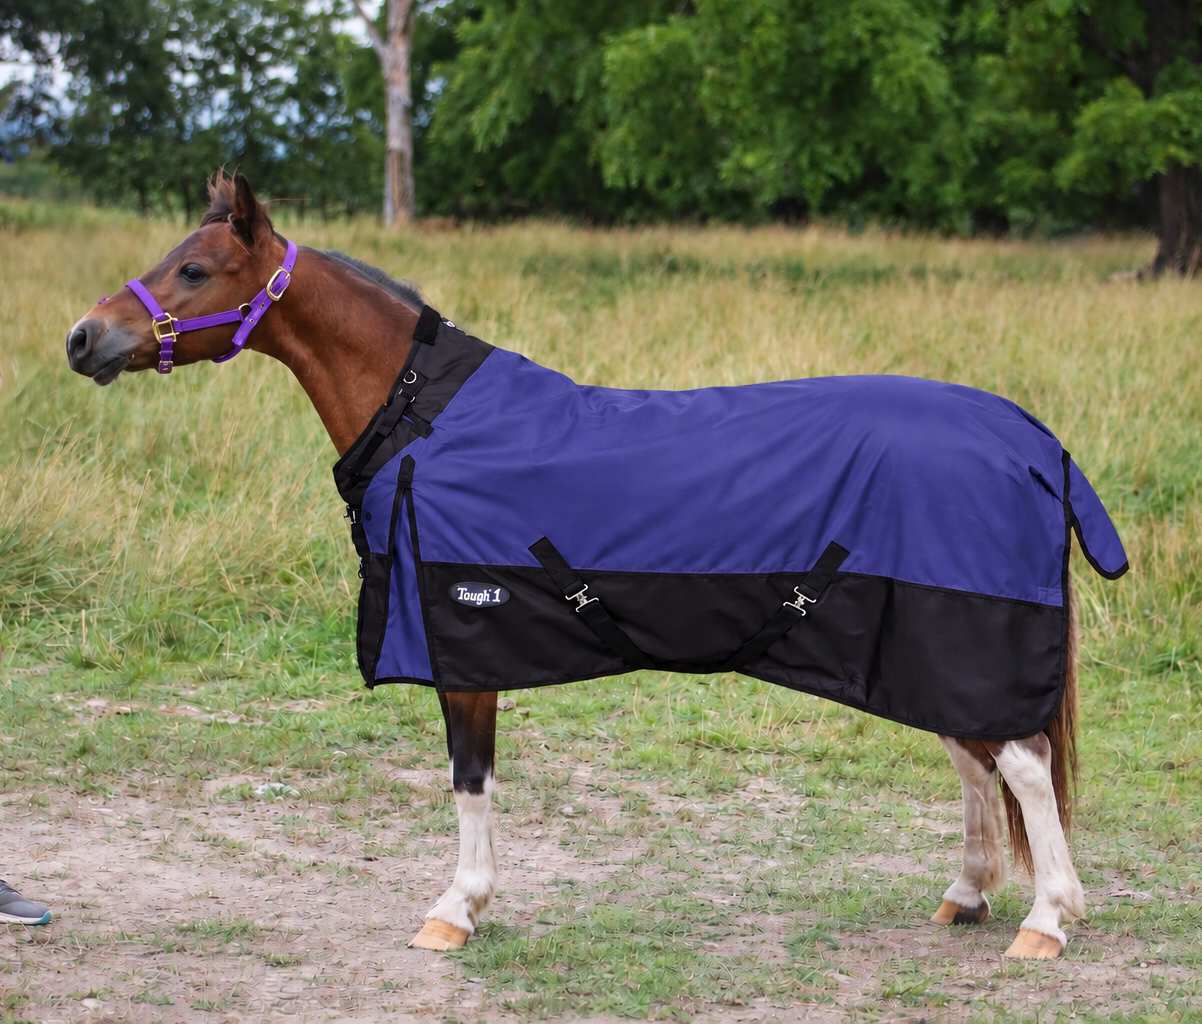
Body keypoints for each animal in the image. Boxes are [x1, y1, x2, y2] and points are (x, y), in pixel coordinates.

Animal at [66, 171, 1127, 959]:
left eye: (195, 267)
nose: (85, 338)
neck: (426, 417)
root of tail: (1033, 441)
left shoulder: (465, 643)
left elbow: (470, 780)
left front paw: (457, 910)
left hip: (961, 638)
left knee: (1022, 766)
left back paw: (1045, 921)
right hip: (916, 646)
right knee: (976, 764)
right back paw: (967, 894)